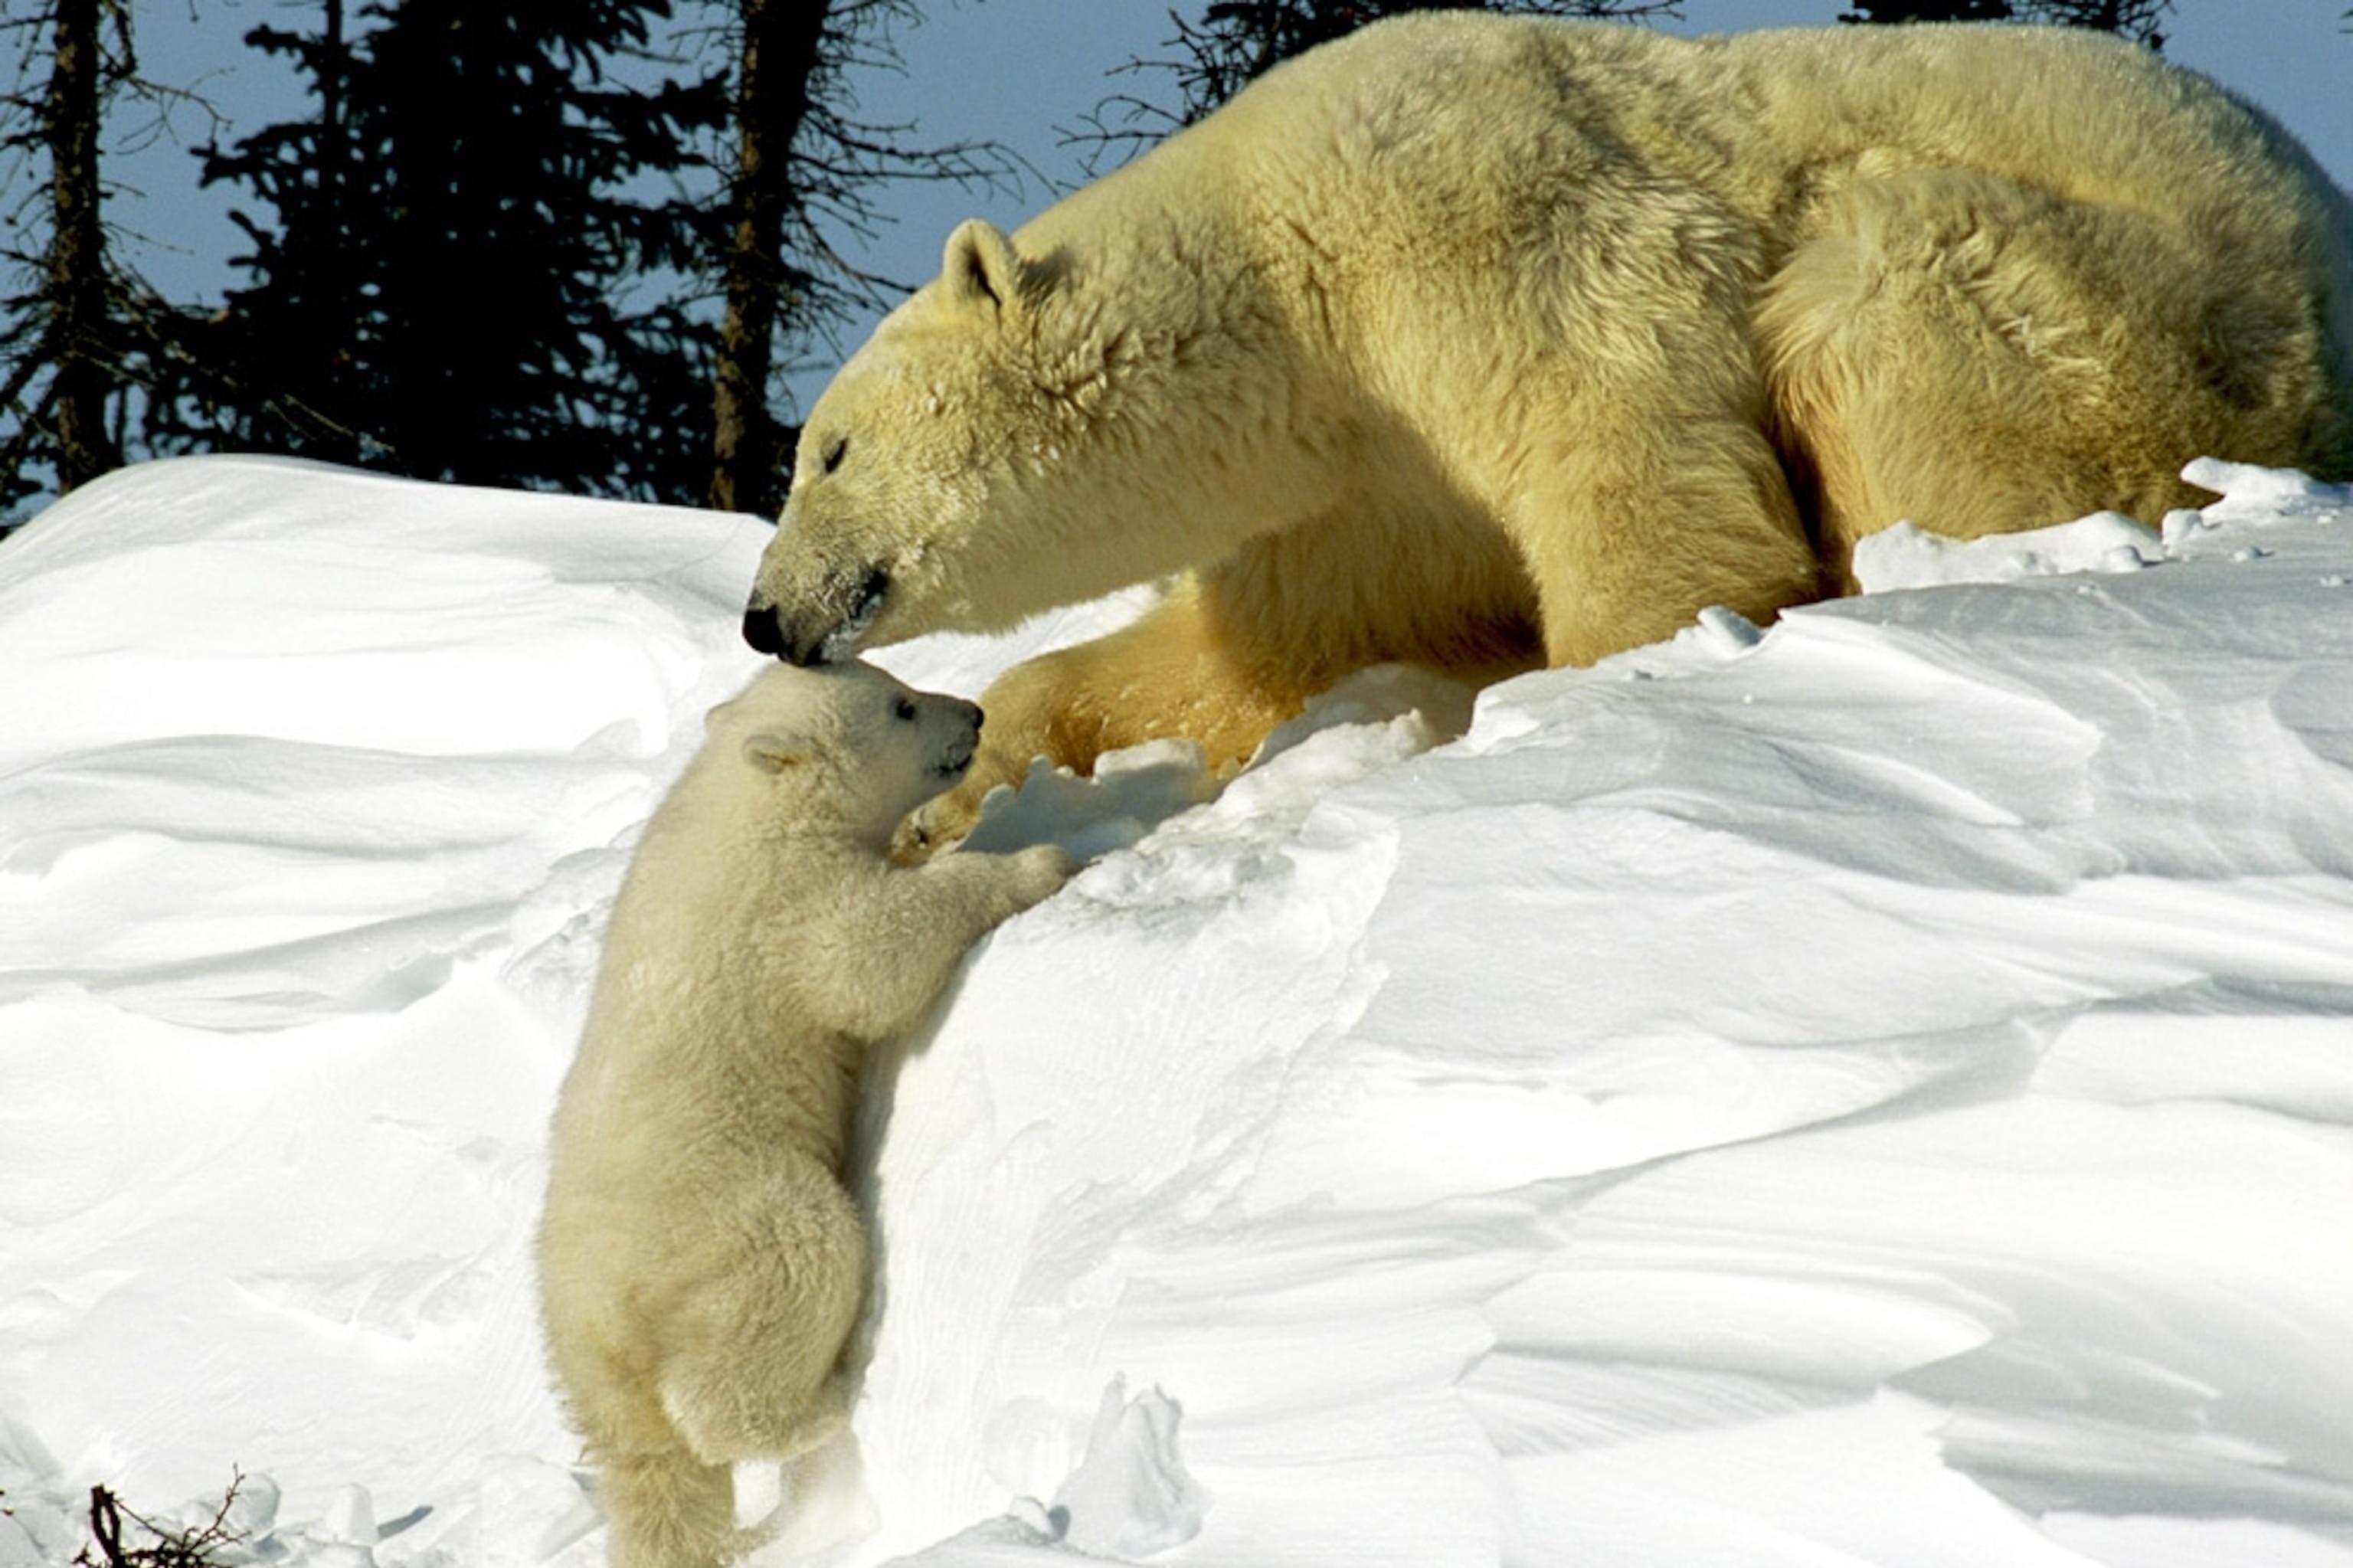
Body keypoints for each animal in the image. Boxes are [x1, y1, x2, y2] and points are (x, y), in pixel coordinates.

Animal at [538, 659, 1072, 1563]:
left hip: (589, 1368)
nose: (973, 712)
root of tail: (603, 1326)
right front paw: (1040, 857)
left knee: (660, 1475)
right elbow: (874, 953)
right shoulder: (789, 904)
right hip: (730, 1222)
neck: (748, 800)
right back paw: (828, 1398)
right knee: (786, 1283)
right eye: (901, 704)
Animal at [738, 15, 2353, 843]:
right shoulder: (1362, 481)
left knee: (1881, 279)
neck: (1285, 271)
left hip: (2127, 313)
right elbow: (1268, 651)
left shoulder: (1480, 232)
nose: (764, 615)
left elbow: (1637, 467)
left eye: (829, 449)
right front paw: (972, 785)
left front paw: (1584, 707)